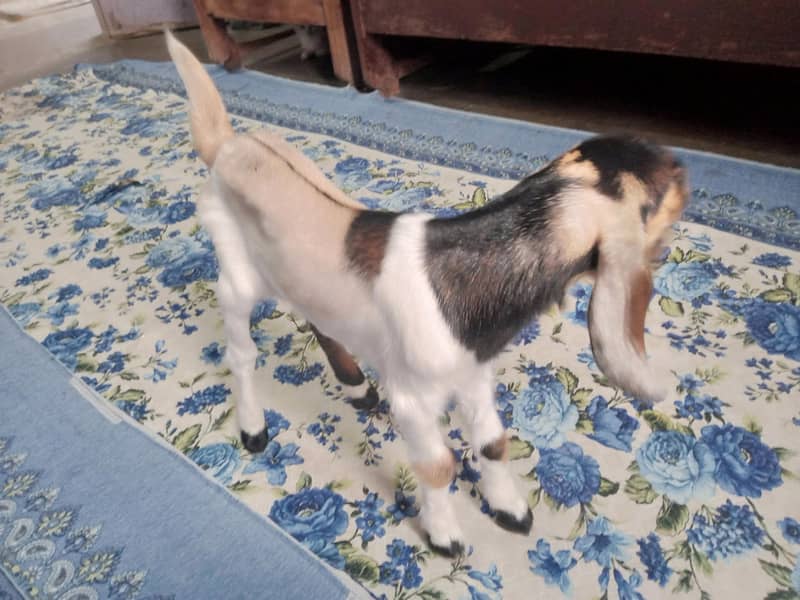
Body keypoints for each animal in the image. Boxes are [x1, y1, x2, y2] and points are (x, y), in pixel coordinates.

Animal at [165, 31, 687, 556]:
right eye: (666, 193)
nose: (682, 164)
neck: (465, 267)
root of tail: (228, 145)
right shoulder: (413, 401)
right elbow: (438, 466)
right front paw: (445, 536)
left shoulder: (474, 375)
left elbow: (493, 443)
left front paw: (510, 510)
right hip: (237, 277)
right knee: (241, 353)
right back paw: (254, 427)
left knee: (317, 318)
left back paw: (355, 386)